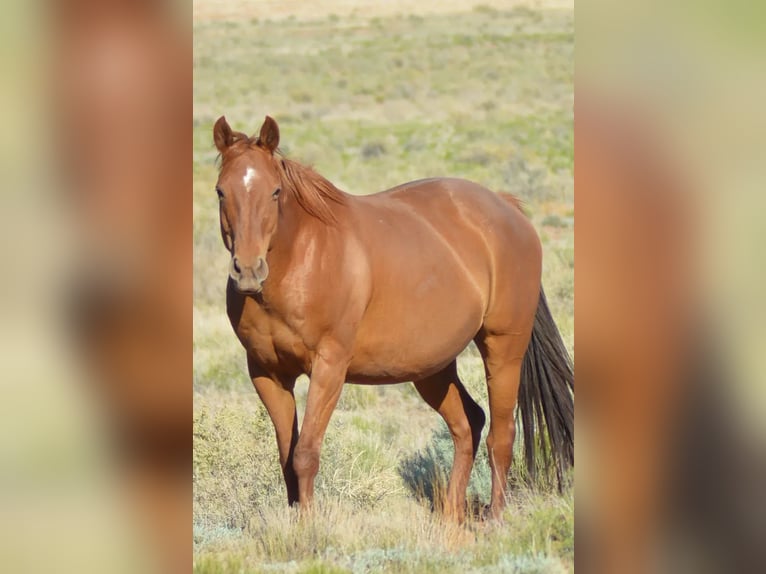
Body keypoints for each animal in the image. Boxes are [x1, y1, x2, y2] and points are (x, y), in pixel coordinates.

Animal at [213, 116, 572, 520]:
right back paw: (451, 516)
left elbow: (305, 454)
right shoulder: (267, 374)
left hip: (503, 349)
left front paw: (310, 526)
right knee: (469, 423)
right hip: (432, 368)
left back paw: (495, 518)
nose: (248, 270)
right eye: (221, 192)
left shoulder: (329, 367)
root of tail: (509, 209)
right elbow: (287, 458)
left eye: (275, 192)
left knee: (501, 434)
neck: (303, 259)